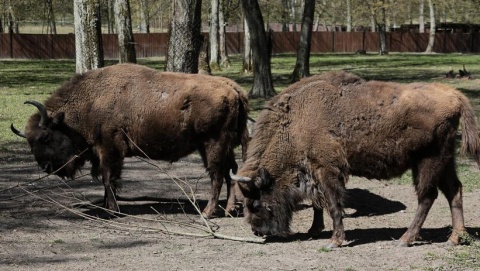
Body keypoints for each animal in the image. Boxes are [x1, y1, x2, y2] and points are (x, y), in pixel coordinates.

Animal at [11, 63, 249, 219]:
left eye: (45, 137)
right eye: (30, 142)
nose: (46, 167)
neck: (91, 102)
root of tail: (233, 88)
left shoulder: (109, 150)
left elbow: (109, 178)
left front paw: (112, 210)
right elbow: (107, 180)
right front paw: (107, 205)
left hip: (212, 144)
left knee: (217, 174)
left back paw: (207, 213)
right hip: (220, 146)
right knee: (231, 171)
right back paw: (229, 209)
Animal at [230, 71, 480, 250]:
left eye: (254, 203)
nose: (257, 231)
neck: (297, 121)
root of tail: (455, 96)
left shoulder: (326, 170)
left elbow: (332, 204)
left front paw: (334, 241)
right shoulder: (315, 173)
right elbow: (321, 203)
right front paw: (318, 232)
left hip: (427, 161)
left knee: (427, 197)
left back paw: (405, 239)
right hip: (445, 160)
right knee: (454, 191)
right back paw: (454, 238)